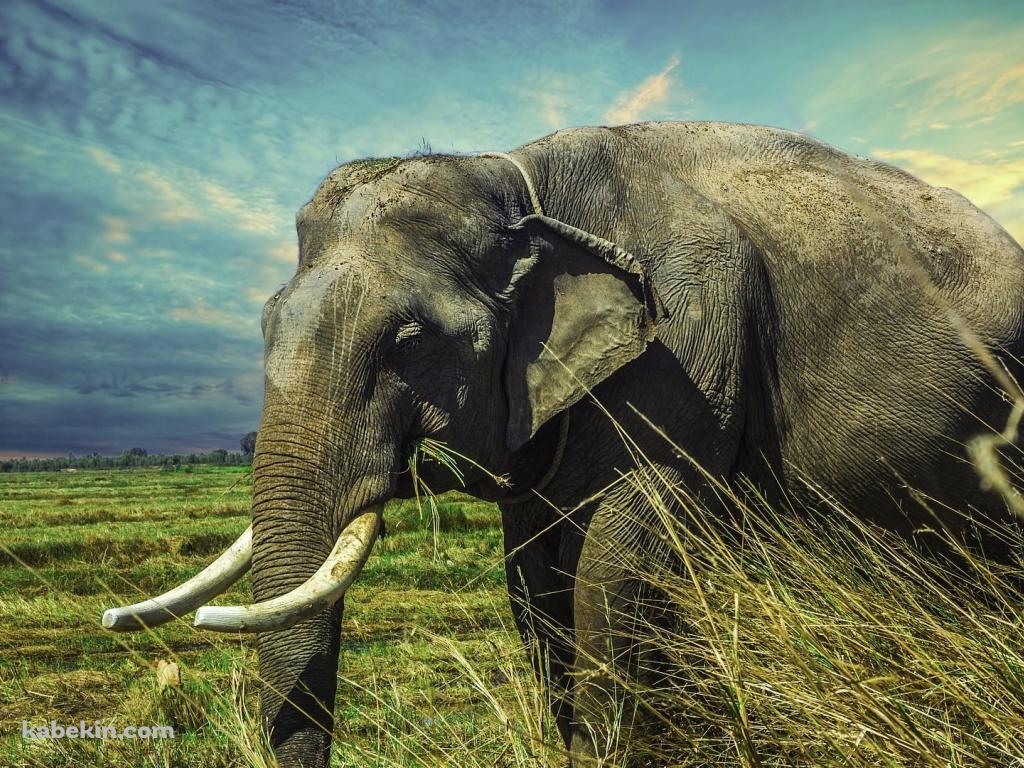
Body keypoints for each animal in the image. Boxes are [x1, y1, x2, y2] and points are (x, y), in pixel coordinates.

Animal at [103, 121, 1024, 767]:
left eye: (409, 341)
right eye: (264, 325)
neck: (519, 179)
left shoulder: (688, 338)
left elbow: (618, 561)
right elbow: (533, 574)